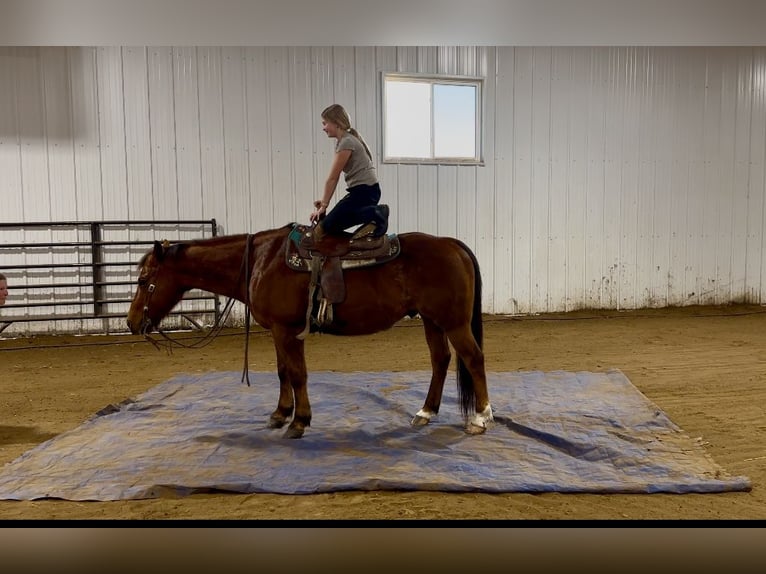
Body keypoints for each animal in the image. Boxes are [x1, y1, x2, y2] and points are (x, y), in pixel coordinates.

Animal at [127, 225, 496, 440]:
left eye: (144, 281)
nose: (132, 323)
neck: (261, 260)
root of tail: (451, 244)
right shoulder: (277, 331)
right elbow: (282, 372)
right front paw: (280, 414)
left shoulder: (287, 331)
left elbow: (297, 374)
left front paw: (299, 421)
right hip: (432, 321)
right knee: (441, 360)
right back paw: (425, 412)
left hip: (453, 322)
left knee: (473, 358)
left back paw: (481, 418)